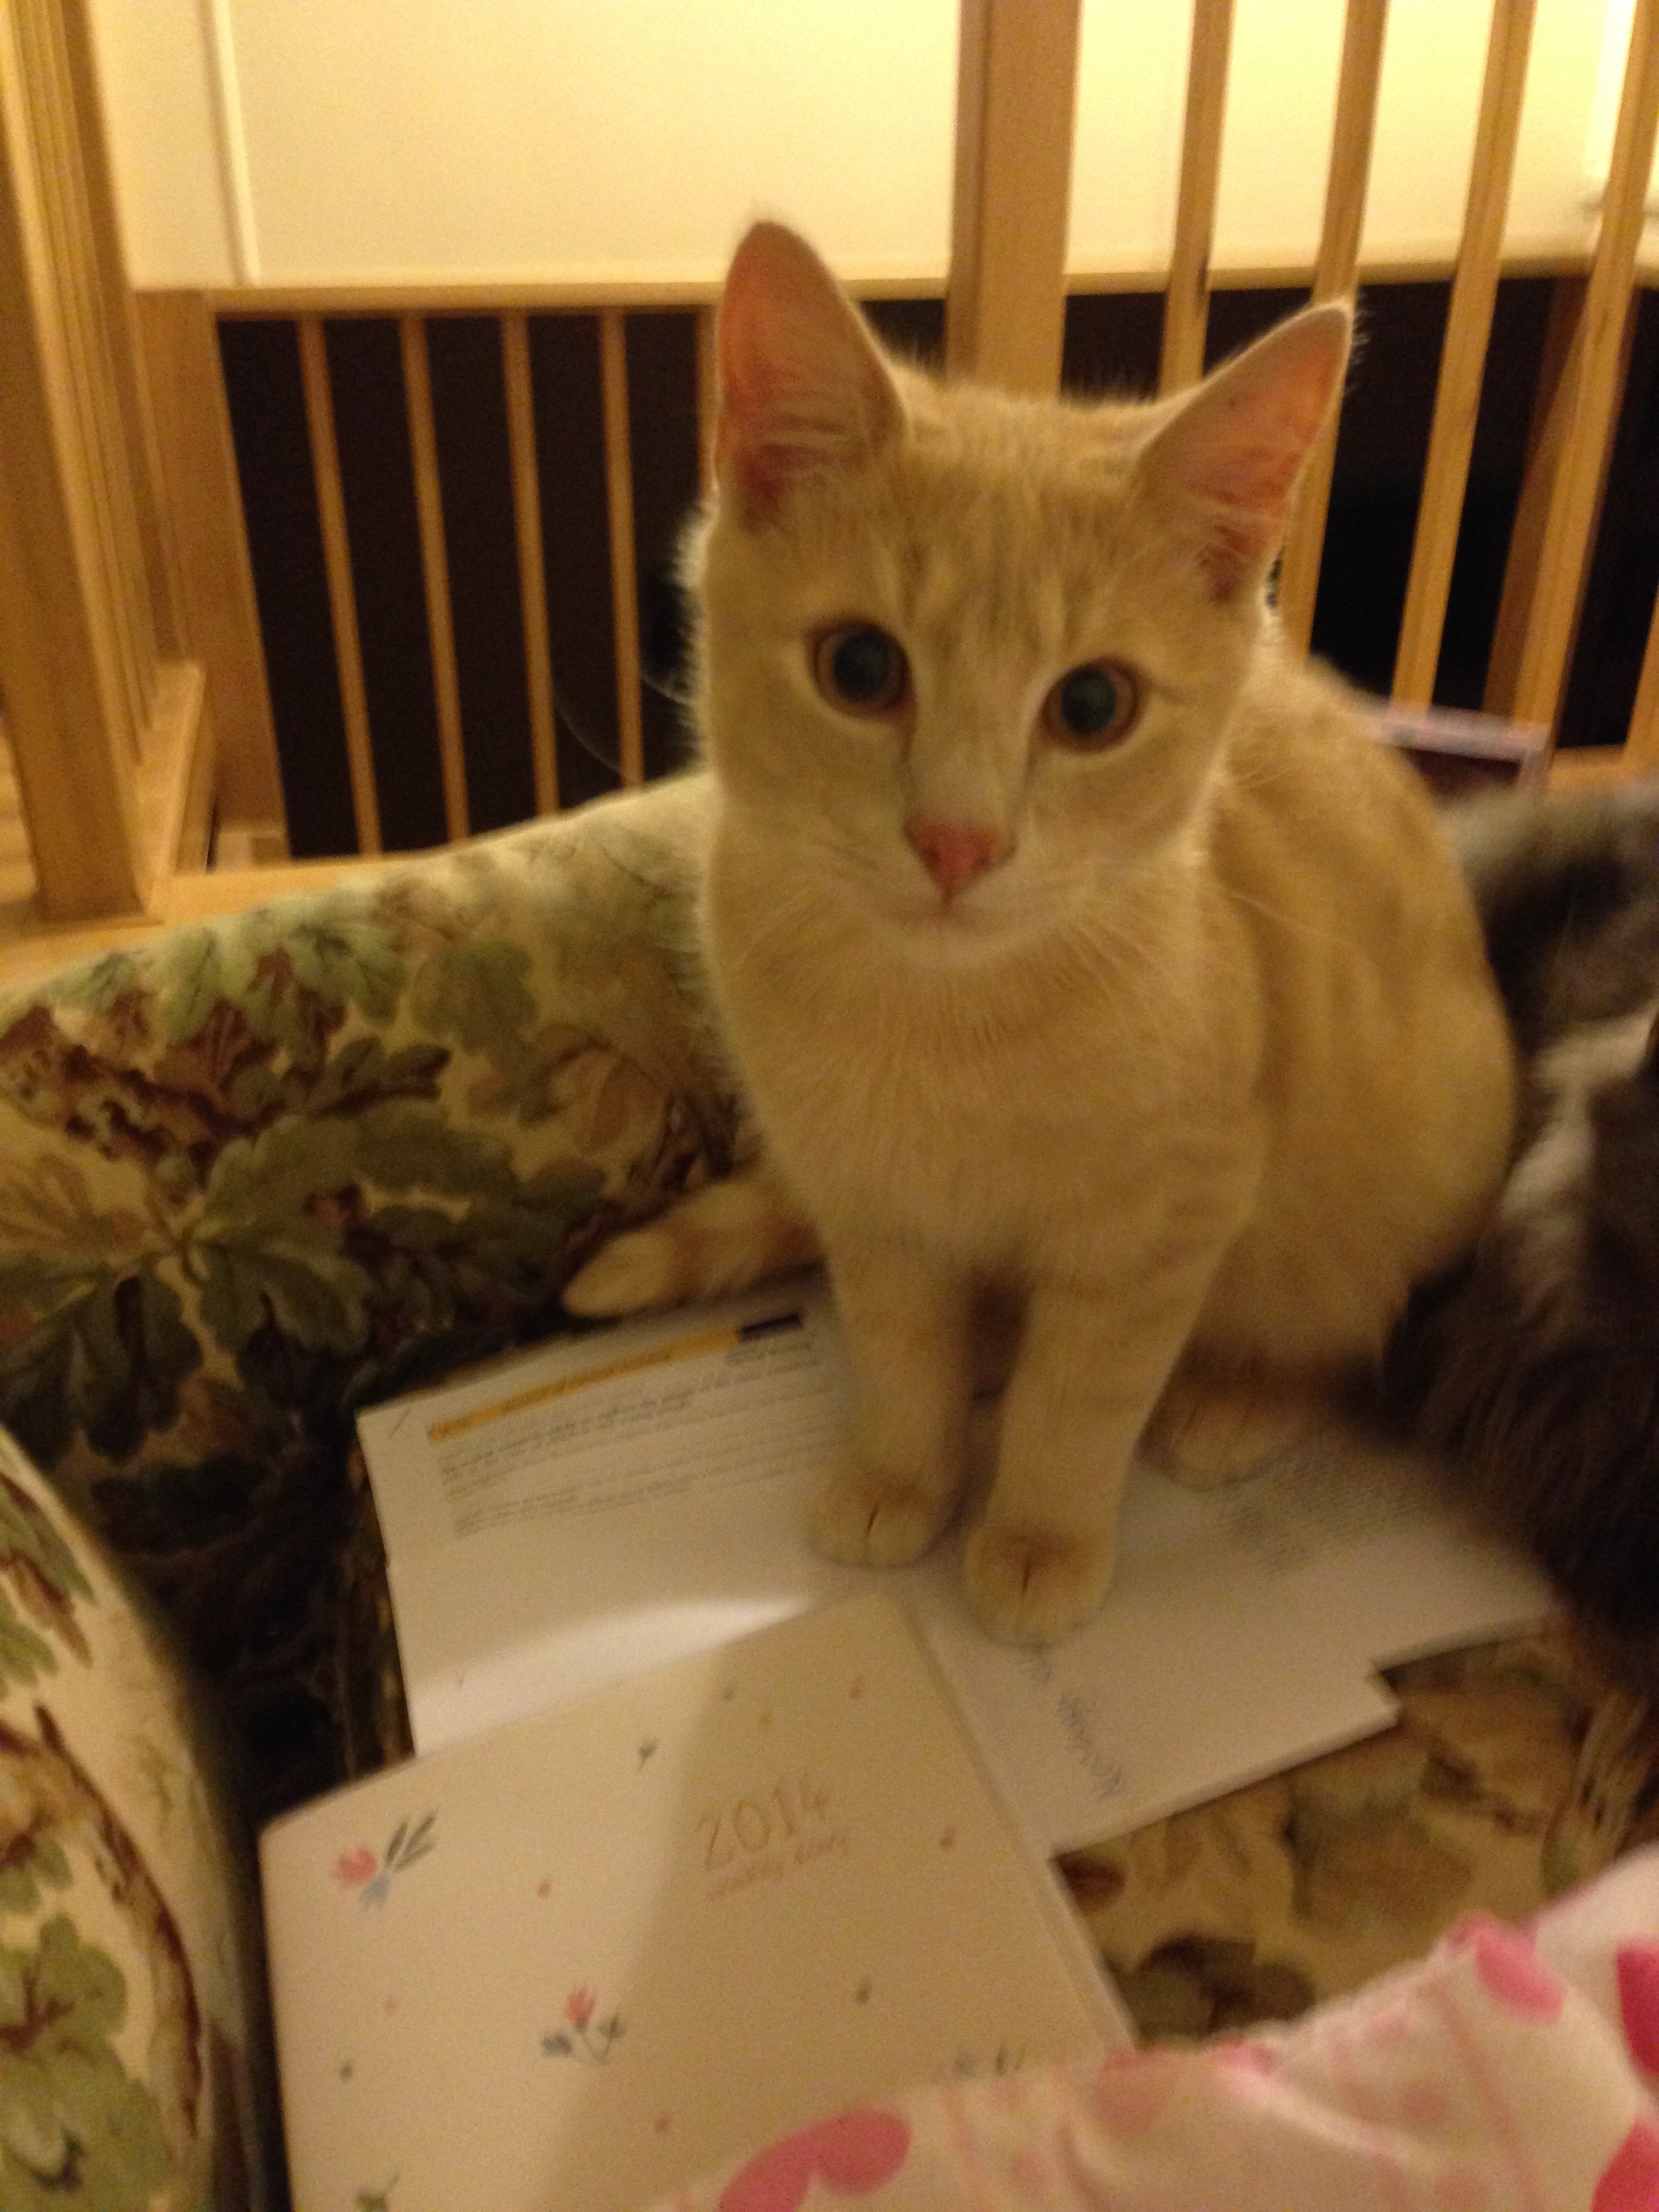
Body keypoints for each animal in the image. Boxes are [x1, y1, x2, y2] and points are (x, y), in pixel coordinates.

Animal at [566, 221, 1516, 1646]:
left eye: (1091, 705)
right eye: (858, 668)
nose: (958, 841)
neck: (943, 1027)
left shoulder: (1168, 1220)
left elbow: (1083, 1396)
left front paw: (1036, 1534)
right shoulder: (869, 1202)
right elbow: (899, 1349)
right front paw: (903, 1468)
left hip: (1394, 1185)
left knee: (1349, 1319)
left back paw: (1238, 1397)